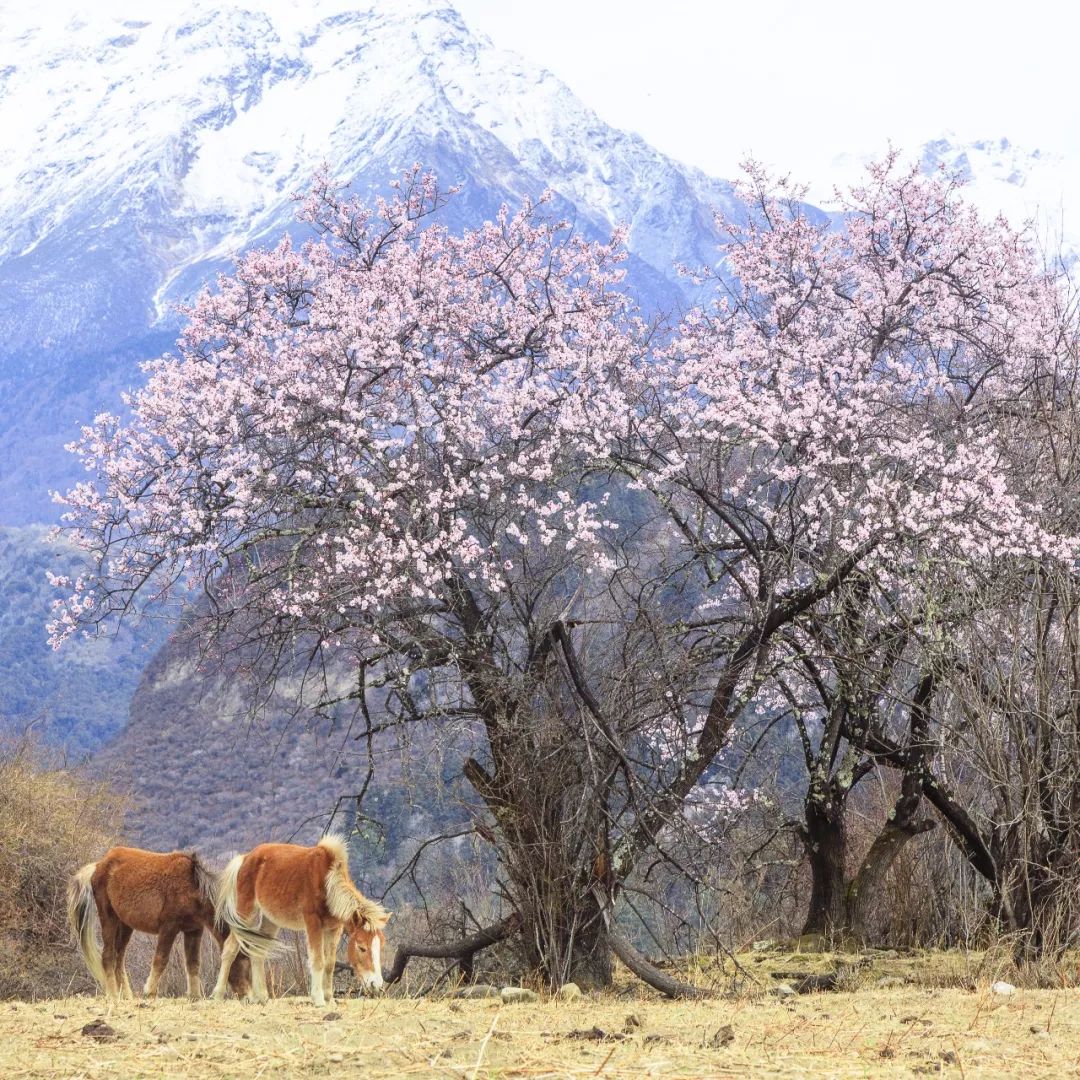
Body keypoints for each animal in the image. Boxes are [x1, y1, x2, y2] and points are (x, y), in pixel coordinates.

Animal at [66, 846, 250, 997]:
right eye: (241, 959)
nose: (248, 996)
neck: (192, 886)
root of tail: (99, 865)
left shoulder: (194, 930)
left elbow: (193, 963)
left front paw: (195, 996)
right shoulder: (169, 928)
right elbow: (161, 959)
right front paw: (149, 991)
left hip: (125, 926)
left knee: (119, 958)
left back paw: (127, 995)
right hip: (108, 918)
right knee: (108, 956)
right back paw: (112, 995)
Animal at [211, 833, 393, 1002]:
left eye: (381, 946)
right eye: (361, 947)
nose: (376, 984)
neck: (327, 883)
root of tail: (246, 857)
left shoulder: (334, 928)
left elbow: (329, 963)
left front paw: (329, 998)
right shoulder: (313, 923)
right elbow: (318, 960)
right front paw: (318, 999)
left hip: (270, 920)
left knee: (257, 951)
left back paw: (261, 997)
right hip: (244, 914)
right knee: (230, 949)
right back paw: (218, 994)